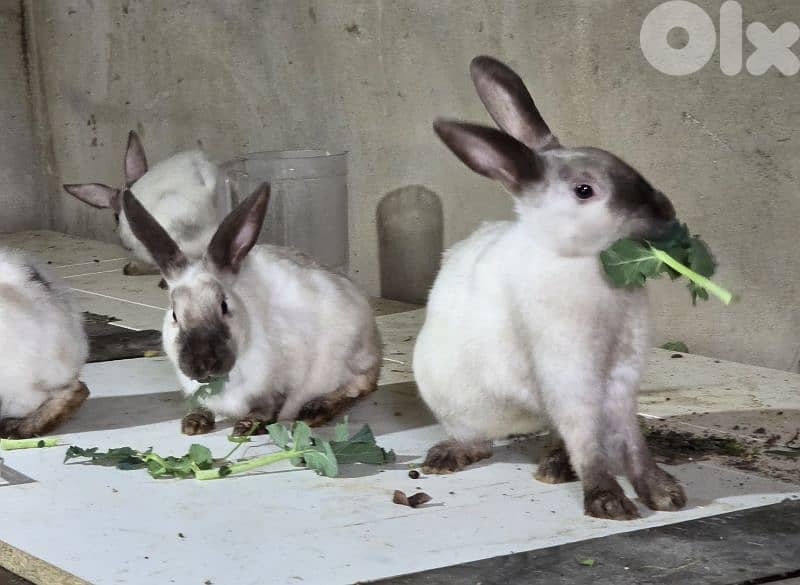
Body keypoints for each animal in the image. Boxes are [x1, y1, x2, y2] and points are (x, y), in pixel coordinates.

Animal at [120, 182, 381, 436]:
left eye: (224, 306)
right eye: (174, 314)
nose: (204, 363)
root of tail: (377, 348)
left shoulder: (281, 382)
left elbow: (268, 408)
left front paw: (245, 427)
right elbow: (202, 406)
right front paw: (193, 423)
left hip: (347, 360)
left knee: (357, 387)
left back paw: (314, 410)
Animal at [412, 55, 686, 520]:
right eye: (584, 191)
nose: (664, 211)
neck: (579, 263)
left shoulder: (620, 380)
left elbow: (632, 442)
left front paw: (664, 494)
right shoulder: (568, 375)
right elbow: (588, 442)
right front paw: (609, 503)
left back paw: (555, 468)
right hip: (455, 401)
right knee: (479, 441)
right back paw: (447, 457)